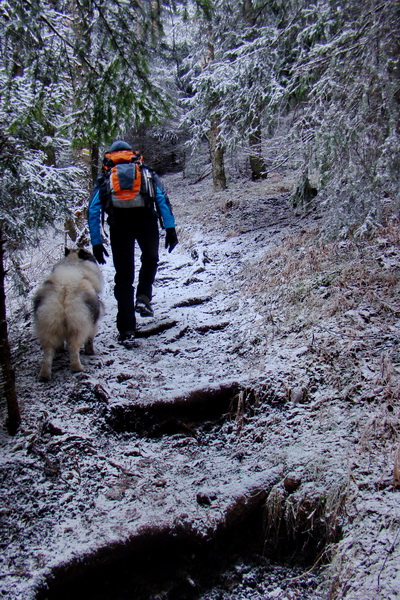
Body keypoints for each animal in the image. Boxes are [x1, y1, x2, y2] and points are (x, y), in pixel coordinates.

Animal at [33, 247, 103, 380]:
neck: (74, 264)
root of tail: (64, 290)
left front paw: (60, 349)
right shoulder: (93, 323)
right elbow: (90, 340)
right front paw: (90, 352)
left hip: (48, 325)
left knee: (48, 351)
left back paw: (44, 374)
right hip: (79, 326)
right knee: (73, 348)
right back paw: (78, 368)